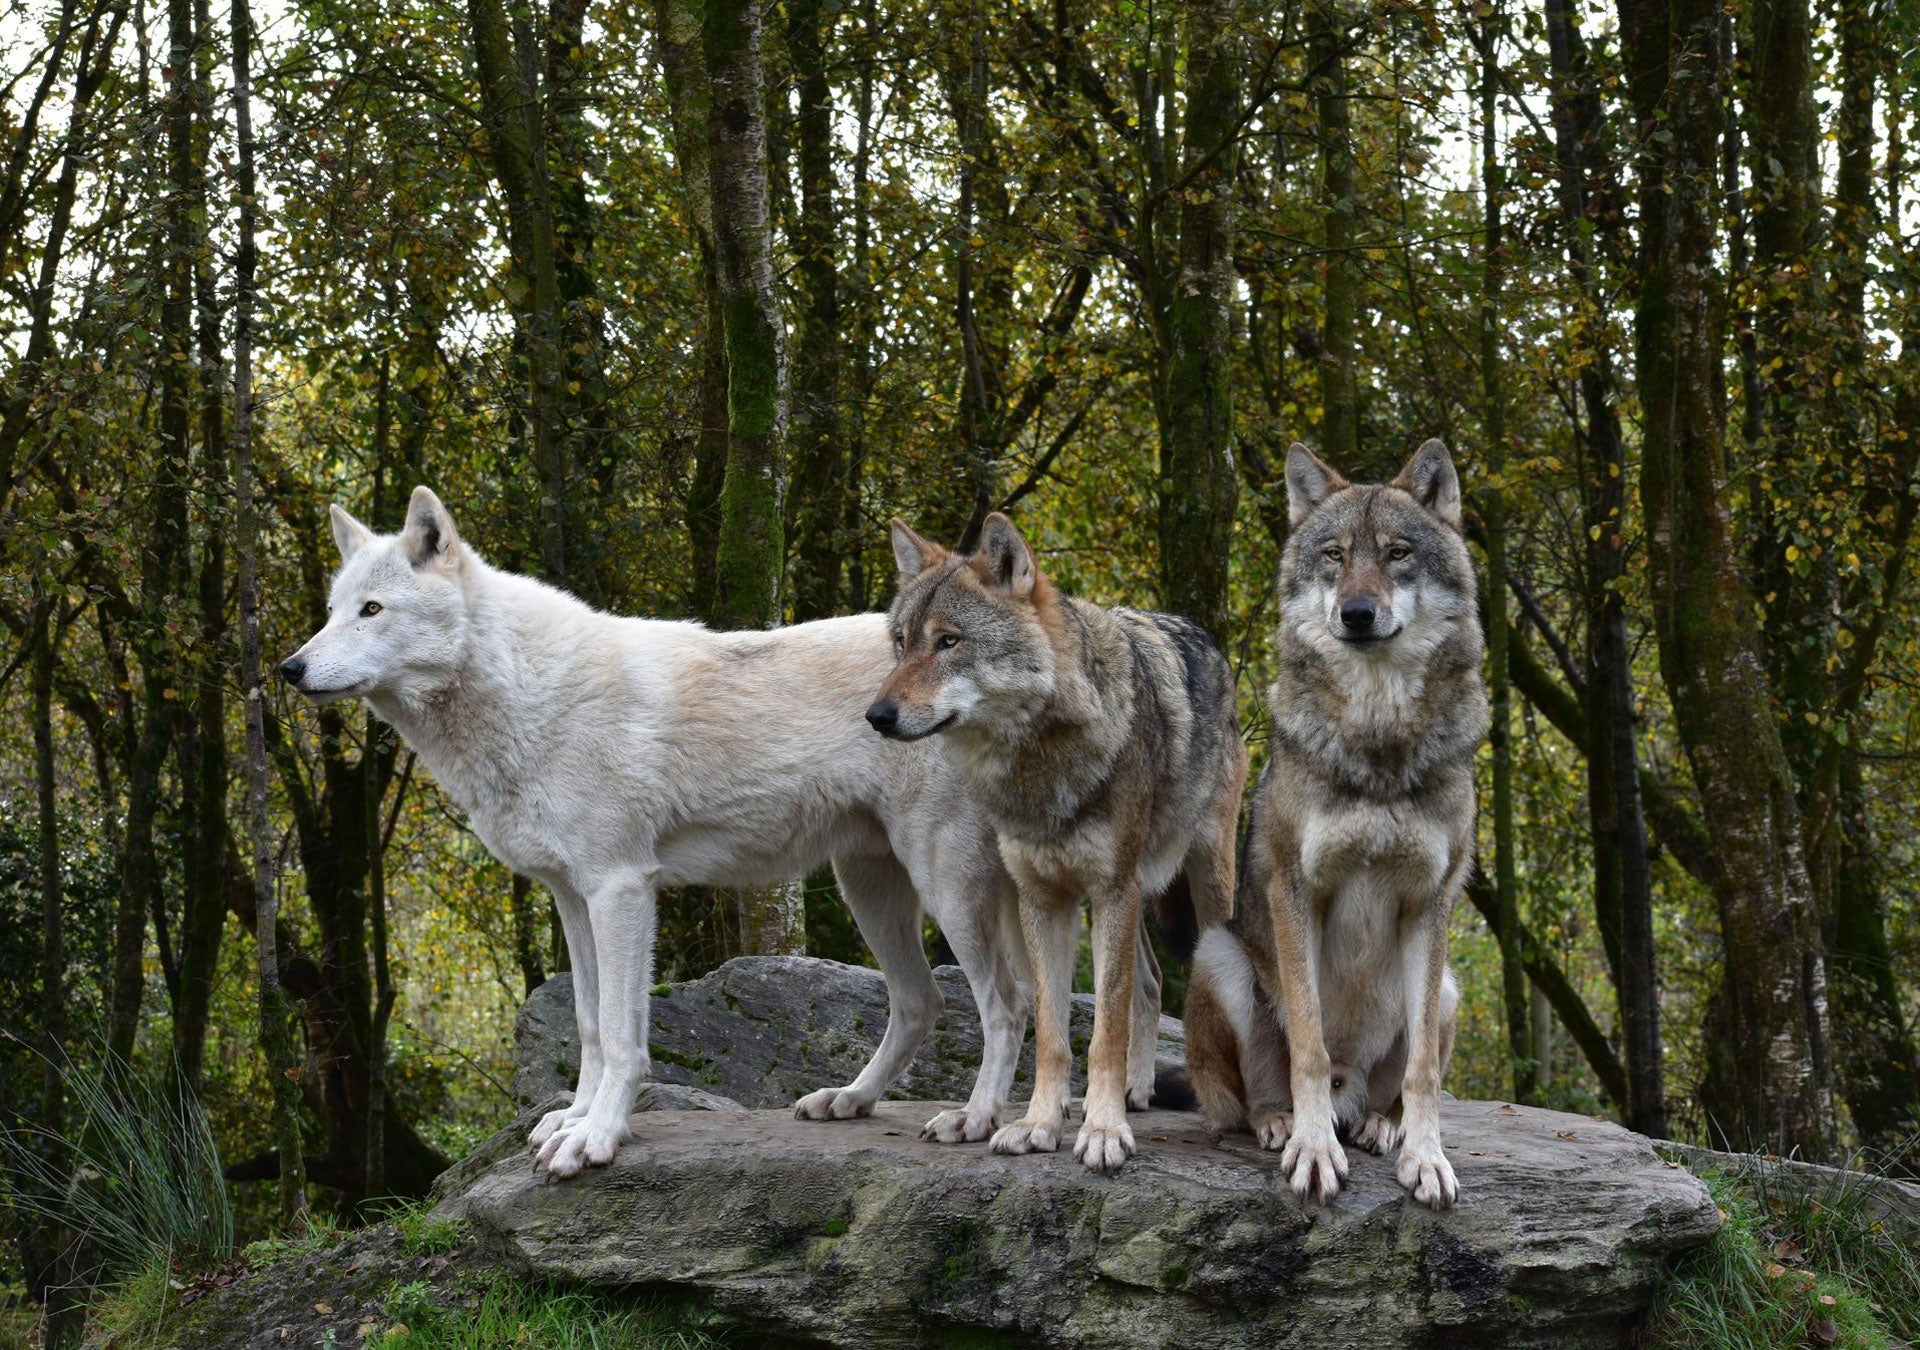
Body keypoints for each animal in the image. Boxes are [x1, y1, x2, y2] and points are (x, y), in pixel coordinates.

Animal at [280, 487, 1033, 1179]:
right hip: (868, 888)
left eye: (372, 611)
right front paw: (573, 1117)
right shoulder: (571, 898)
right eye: (332, 612)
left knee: (1007, 1003)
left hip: (944, 886)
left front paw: (596, 1139)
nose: (289, 668)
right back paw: (849, 1099)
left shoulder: (621, 889)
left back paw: (975, 1118)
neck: (528, 694)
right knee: (920, 1002)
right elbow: (588, 1025)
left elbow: (621, 1036)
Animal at [870, 513, 1247, 1173]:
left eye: (949, 642)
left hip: (1201, 886)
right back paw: (1136, 1090)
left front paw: (1103, 1131)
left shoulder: (1112, 889)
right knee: (1151, 982)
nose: (876, 714)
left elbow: (1104, 1030)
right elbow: (1051, 1029)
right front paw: (1041, 1122)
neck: (1039, 766)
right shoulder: (1043, 897)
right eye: (901, 641)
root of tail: (1202, 635)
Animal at [1184, 440, 1484, 1209]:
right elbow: (1311, 1048)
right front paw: (1314, 1151)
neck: (1376, 739)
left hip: (1445, 989)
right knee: (1246, 1099)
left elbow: (1424, 1075)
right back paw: (1280, 1123)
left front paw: (1426, 1159)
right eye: (1334, 555)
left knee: (1392, 1087)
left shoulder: (1429, 903)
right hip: (1219, 955)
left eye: (1398, 554)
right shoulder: (1297, 891)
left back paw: (1380, 1126)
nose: (1356, 613)